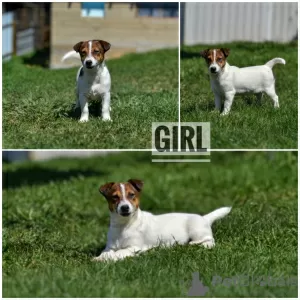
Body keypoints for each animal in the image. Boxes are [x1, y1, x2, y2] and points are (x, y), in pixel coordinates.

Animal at [94, 179, 232, 262]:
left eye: (131, 195)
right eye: (114, 197)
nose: (124, 207)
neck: (124, 225)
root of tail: (204, 218)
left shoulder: (134, 247)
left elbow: (119, 252)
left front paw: (110, 258)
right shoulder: (109, 246)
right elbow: (106, 252)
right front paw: (99, 258)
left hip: (196, 230)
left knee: (210, 240)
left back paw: (196, 244)